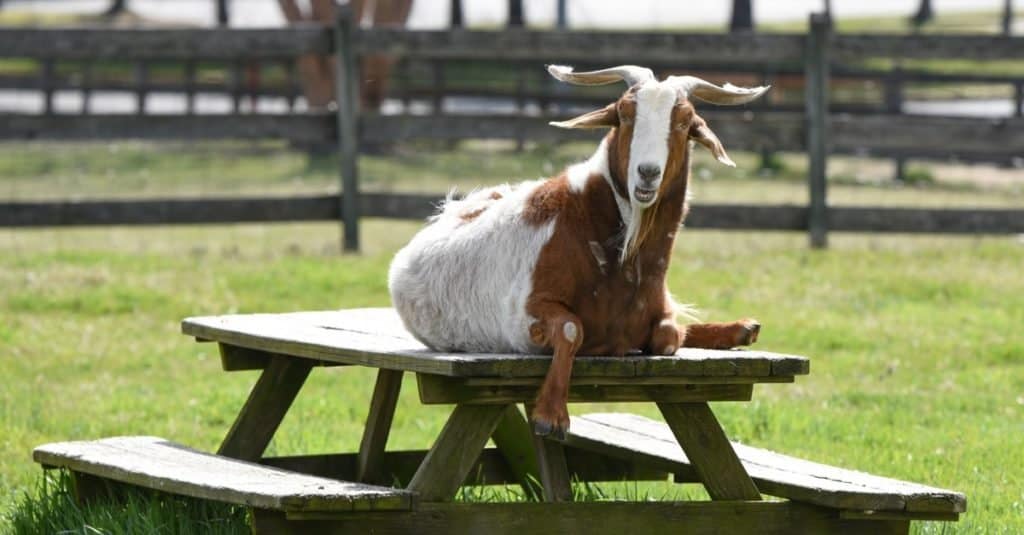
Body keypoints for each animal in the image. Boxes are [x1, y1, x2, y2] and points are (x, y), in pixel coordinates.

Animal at [389, 64, 770, 434]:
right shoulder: (524, 314)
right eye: (624, 114)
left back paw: (743, 327)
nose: (647, 173)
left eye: (685, 121)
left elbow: (668, 333)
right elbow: (573, 329)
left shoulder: (656, 314)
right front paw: (551, 415)